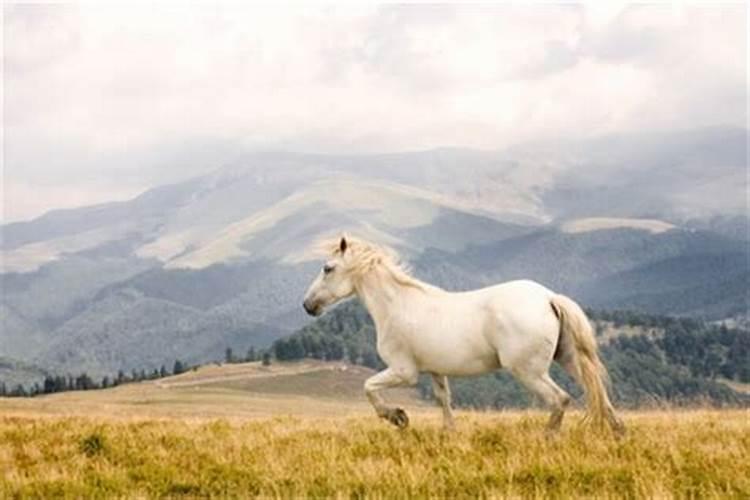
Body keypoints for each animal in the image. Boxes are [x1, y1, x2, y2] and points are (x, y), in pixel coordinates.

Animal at [302, 236, 624, 436]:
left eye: (328, 268)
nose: (307, 305)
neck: (397, 306)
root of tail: (548, 298)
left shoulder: (404, 371)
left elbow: (368, 387)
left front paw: (398, 417)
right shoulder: (436, 371)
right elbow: (444, 400)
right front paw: (449, 434)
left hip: (528, 371)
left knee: (560, 400)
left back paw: (547, 439)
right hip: (568, 359)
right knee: (599, 395)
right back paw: (618, 434)